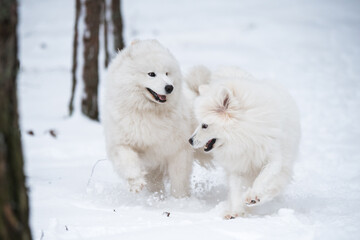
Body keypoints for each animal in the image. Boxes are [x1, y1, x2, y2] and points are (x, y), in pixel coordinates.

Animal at [186, 65, 300, 218]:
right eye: (199, 123)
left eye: (204, 125)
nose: (190, 141)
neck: (243, 138)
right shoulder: (237, 167)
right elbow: (235, 191)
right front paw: (235, 212)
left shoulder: (274, 159)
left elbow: (263, 178)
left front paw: (253, 196)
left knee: (274, 187)